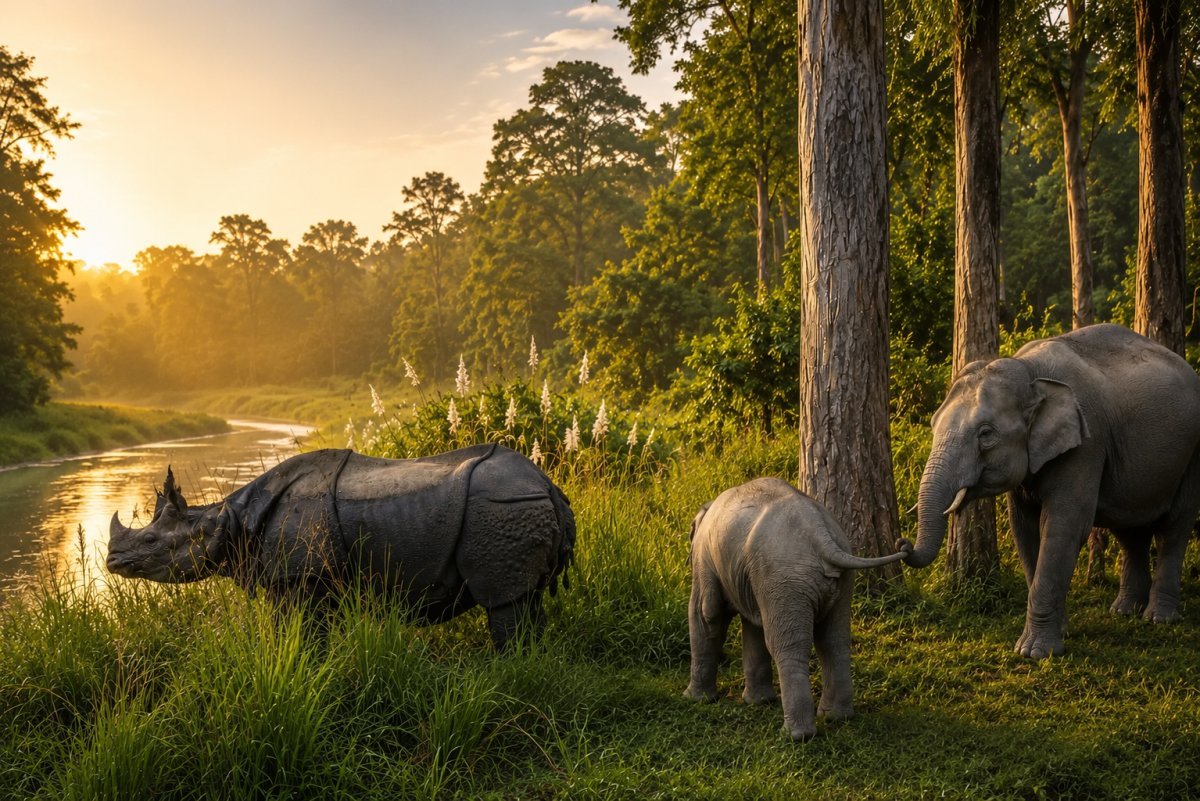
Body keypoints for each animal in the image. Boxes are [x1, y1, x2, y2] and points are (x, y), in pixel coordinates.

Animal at [107, 443, 575, 648]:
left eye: (150, 540)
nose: (113, 560)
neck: (228, 520)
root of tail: (548, 485)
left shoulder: (301, 574)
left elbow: (299, 631)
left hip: (500, 508)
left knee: (504, 603)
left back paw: (507, 666)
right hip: (514, 506)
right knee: (525, 598)